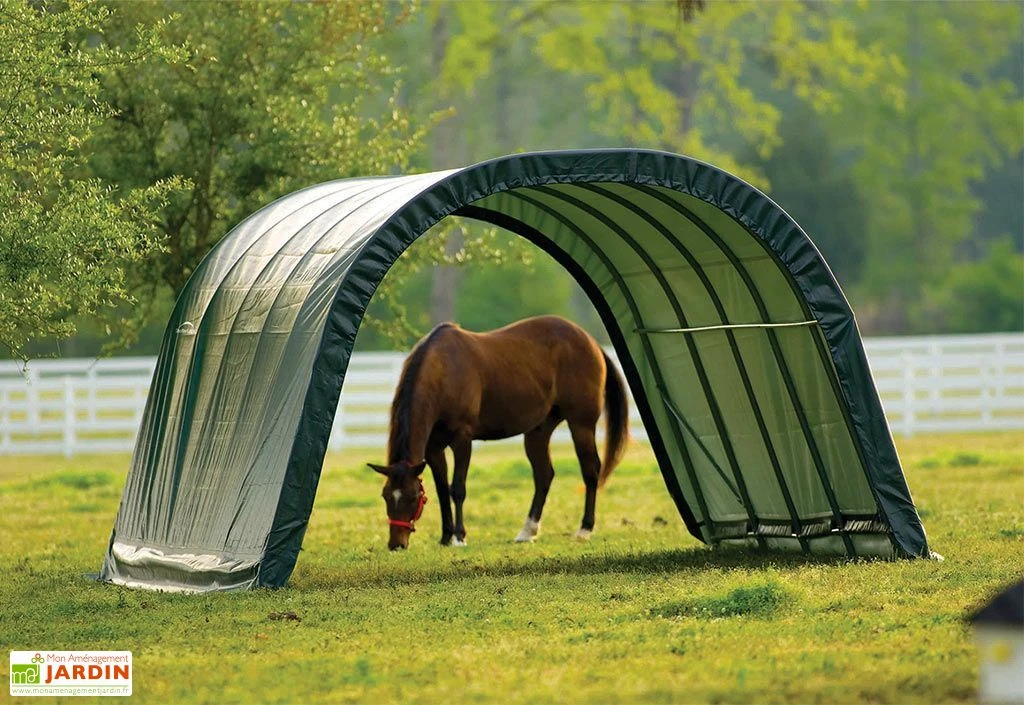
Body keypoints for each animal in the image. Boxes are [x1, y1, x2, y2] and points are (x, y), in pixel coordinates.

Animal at [367, 315, 629, 551]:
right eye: (386, 495)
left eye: (412, 497)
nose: (396, 544)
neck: (444, 371)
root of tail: (591, 342)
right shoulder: (433, 448)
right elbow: (442, 489)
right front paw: (445, 536)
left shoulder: (462, 439)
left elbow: (457, 488)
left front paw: (459, 537)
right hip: (538, 430)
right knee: (544, 475)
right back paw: (527, 532)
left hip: (581, 424)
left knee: (590, 470)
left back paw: (585, 529)